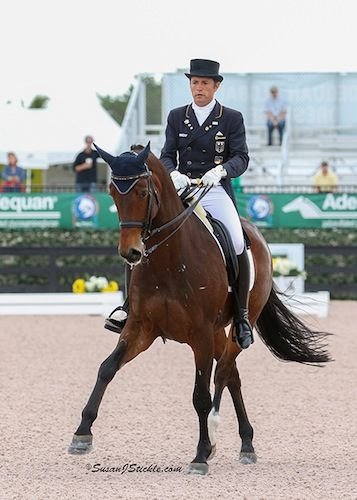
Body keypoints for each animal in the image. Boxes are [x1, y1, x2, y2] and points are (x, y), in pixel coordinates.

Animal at [68, 143, 330, 474]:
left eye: (142, 192)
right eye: (113, 193)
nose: (131, 252)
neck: (169, 259)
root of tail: (256, 233)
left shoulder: (200, 334)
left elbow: (201, 396)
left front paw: (201, 454)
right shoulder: (141, 328)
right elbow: (106, 368)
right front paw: (81, 434)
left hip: (235, 324)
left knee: (224, 372)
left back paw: (221, 435)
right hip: (217, 331)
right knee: (233, 377)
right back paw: (247, 444)